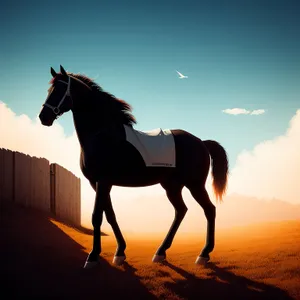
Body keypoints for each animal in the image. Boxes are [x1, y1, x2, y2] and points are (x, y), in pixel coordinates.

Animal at [38, 64, 229, 268]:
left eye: (60, 90)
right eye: (49, 90)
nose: (43, 117)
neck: (103, 134)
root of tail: (201, 142)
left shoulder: (103, 182)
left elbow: (97, 216)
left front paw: (93, 256)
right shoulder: (98, 184)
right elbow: (110, 215)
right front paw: (120, 252)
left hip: (195, 185)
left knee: (209, 210)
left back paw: (204, 254)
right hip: (172, 186)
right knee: (181, 211)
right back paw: (160, 252)